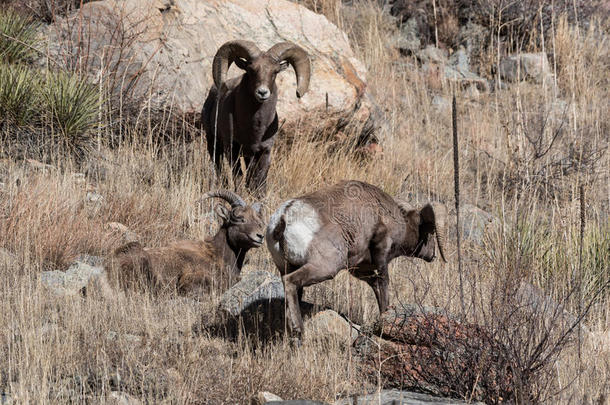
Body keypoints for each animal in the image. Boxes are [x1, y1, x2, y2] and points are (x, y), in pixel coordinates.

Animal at [203, 40, 312, 192]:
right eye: (251, 70)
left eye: (275, 72)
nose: (262, 92)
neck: (255, 130)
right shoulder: (233, 149)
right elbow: (238, 177)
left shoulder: (264, 152)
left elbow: (260, 181)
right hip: (213, 143)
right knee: (219, 169)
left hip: (249, 156)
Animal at [266, 181, 446, 332]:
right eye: (430, 231)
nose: (433, 255)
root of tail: (284, 217)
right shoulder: (381, 254)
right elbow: (384, 284)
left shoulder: (359, 269)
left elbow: (376, 287)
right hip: (326, 267)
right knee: (290, 281)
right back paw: (299, 330)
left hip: (286, 267)